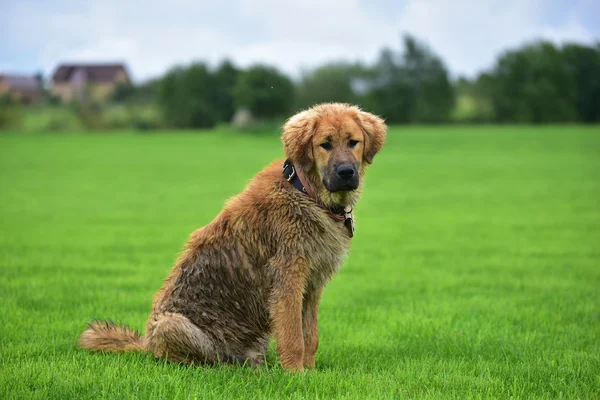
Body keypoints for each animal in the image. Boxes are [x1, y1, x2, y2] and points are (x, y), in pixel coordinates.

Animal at [79, 102, 386, 372]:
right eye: (325, 144)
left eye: (353, 142)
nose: (346, 173)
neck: (306, 192)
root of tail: (145, 345)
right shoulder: (288, 280)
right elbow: (293, 337)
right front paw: (296, 375)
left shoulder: (312, 286)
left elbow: (310, 335)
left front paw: (310, 372)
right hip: (172, 324)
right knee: (194, 361)